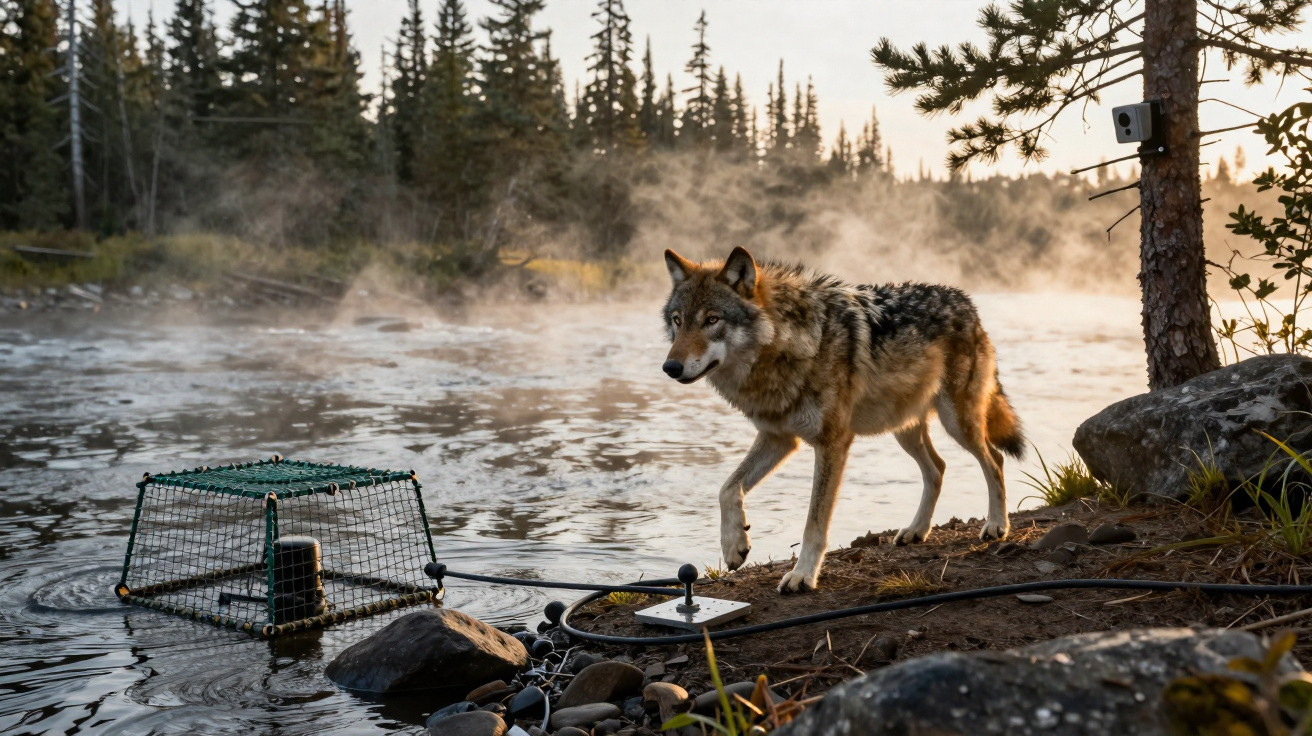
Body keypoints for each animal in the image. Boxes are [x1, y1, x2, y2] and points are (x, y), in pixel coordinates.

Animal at [661, 247, 1024, 593]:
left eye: (712, 319)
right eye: (678, 321)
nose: (670, 367)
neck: (786, 347)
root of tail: (965, 301)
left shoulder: (831, 442)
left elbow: (814, 522)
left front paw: (802, 577)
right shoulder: (778, 438)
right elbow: (727, 488)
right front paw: (735, 545)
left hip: (957, 422)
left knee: (993, 459)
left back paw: (996, 525)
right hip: (903, 428)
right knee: (938, 468)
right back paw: (916, 530)